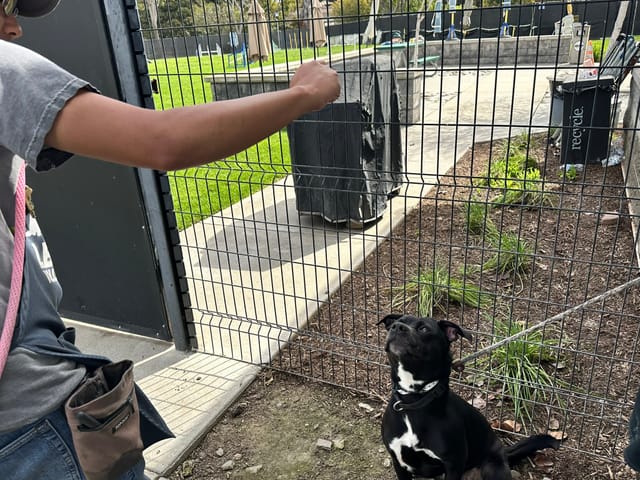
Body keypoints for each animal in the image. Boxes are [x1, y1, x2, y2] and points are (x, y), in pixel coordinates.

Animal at [380, 316, 560, 480]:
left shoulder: (453, 464)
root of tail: (504, 452)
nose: (396, 327)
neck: (413, 400)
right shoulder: (398, 462)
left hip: (492, 467)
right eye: (396, 322)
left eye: (423, 329)